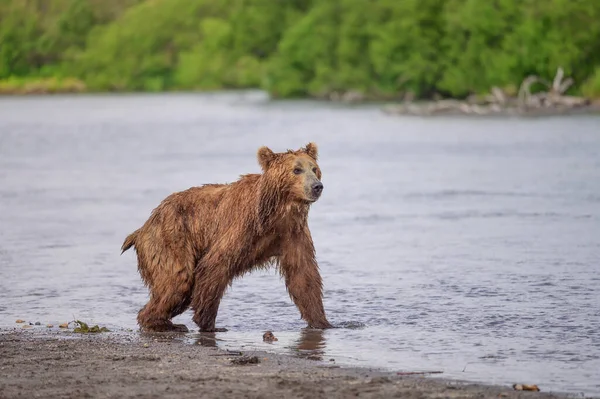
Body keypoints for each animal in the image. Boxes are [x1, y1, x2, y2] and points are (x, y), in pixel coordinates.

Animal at [119, 142, 330, 332]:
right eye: (297, 170)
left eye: (314, 168)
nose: (317, 186)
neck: (276, 212)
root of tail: (144, 226)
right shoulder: (241, 227)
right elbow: (215, 264)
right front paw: (209, 323)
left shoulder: (292, 233)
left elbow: (303, 275)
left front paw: (322, 322)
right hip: (170, 238)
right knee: (177, 280)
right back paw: (162, 323)